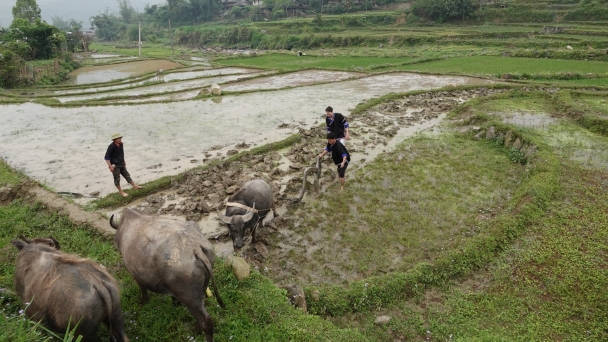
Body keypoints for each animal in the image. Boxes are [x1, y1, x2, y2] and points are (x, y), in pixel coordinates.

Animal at [108, 208, 223, 342]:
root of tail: (194, 247)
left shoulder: (135, 274)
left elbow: (142, 289)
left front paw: (142, 302)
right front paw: (175, 304)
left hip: (191, 299)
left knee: (207, 321)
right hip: (202, 289)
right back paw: (196, 330)